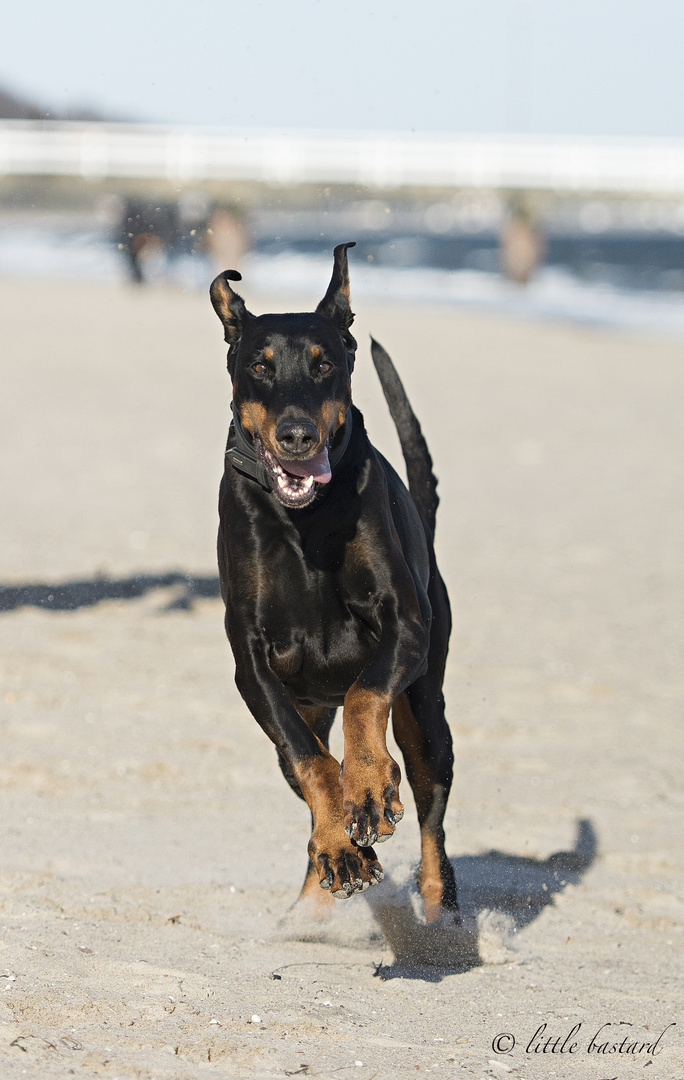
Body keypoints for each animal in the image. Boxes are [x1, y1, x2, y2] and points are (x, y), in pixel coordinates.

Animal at [208, 243, 458, 920]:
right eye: (260, 366)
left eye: (324, 364)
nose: (298, 435)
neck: (305, 519)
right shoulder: (254, 666)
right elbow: (311, 761)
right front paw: (342, 847)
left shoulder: (404, 626)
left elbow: (366, 695)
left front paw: (370, 783)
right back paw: (336, 864)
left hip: (428, 705)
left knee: (431, 807)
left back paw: (437, 913)